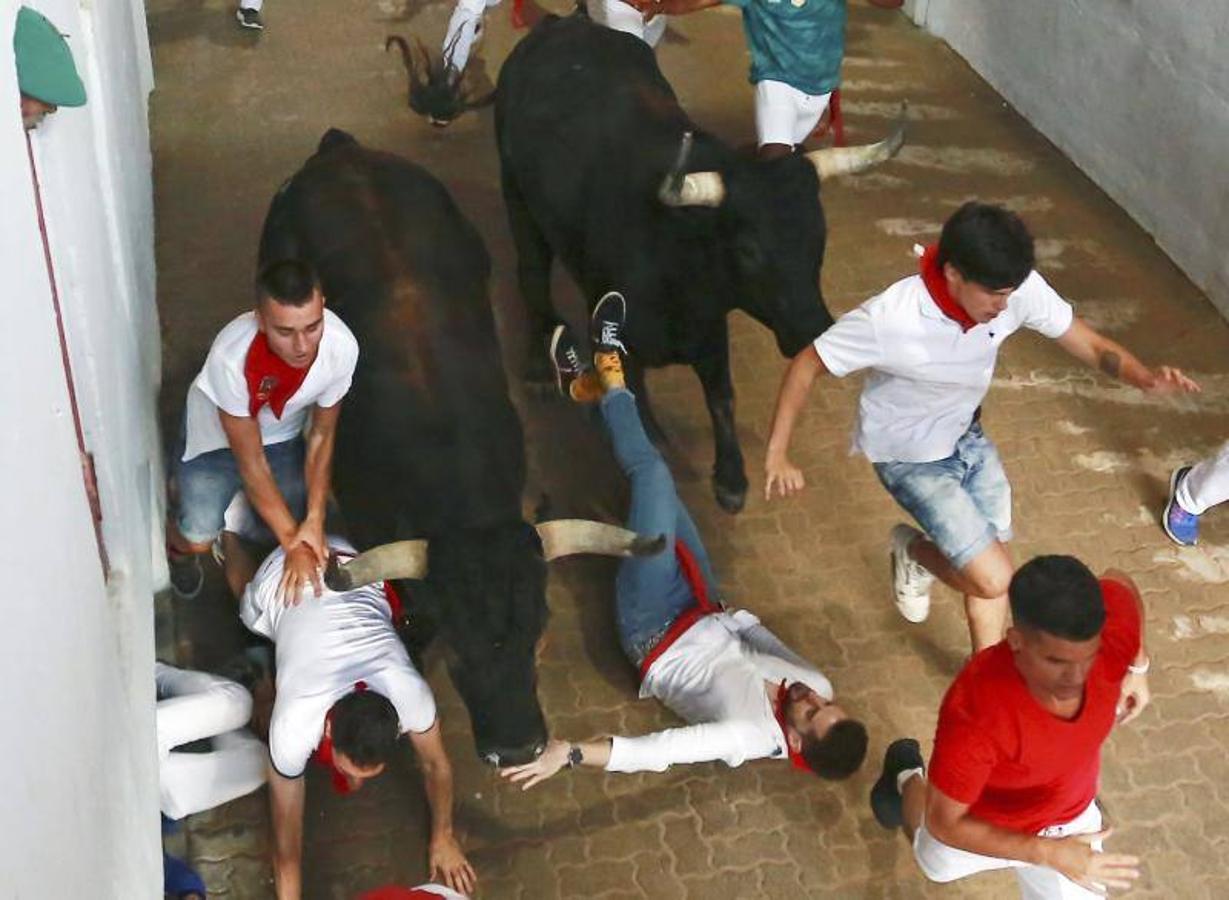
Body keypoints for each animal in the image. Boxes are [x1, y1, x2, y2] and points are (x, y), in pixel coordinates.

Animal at [494, 12, 909, 513]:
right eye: (749, 249)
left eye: (819, 238)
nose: (815, 330)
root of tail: (563, 24)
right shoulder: (616, 331)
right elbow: (639, 412)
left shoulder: (711, 328)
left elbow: (722, 396)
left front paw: (730, 479)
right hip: (516, 195)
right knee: (531, 272)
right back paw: (537, 367)